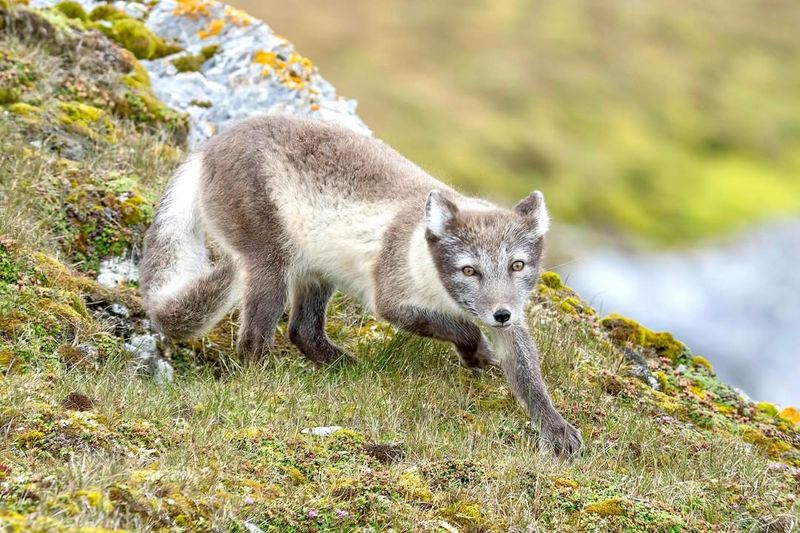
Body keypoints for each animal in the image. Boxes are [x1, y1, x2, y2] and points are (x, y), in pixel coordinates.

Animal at [141, 114, 580, 456]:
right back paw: (266, 382)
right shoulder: (390, 301)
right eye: (469, 270)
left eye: (517, 265)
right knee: (253, 339)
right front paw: (477, 352)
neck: (440, 288)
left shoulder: (514, 317)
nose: (500, 314)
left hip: (316, 272)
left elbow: (529, 377)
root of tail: (207, 148)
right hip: (271, 265)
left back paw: (347, 367)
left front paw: (556, 430)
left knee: (301, 331)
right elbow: (462, 328)